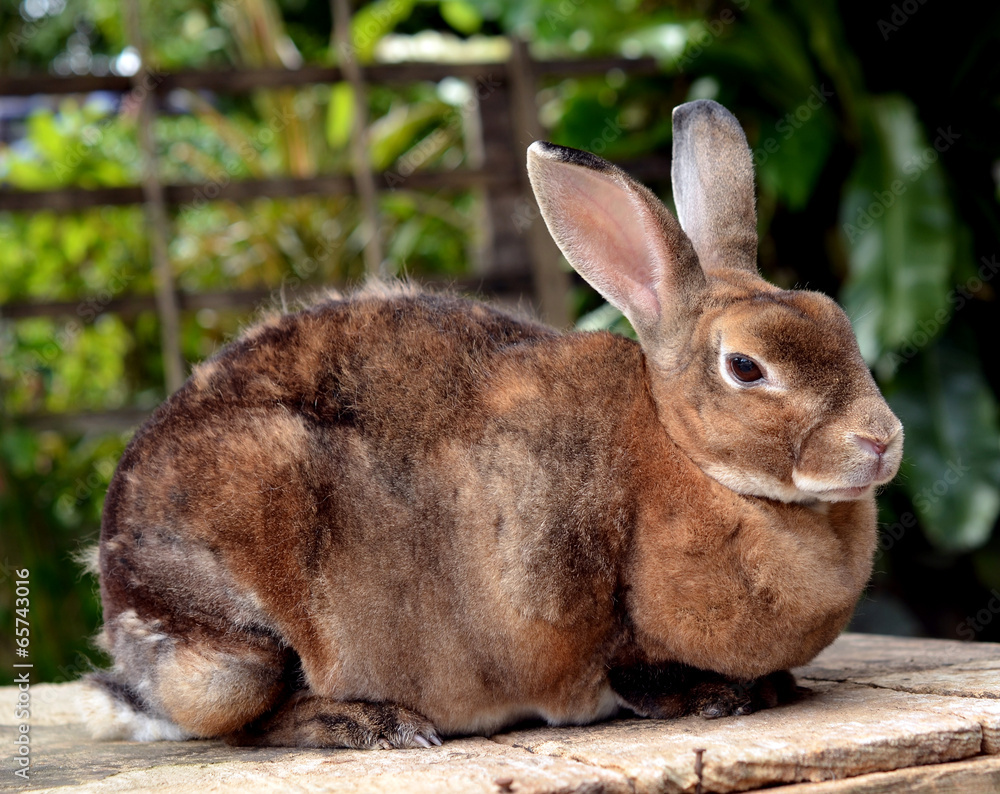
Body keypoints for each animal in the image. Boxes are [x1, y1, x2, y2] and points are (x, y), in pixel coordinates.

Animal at [81, 99, 902, 750]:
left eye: (836, 319)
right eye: (746, 368)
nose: (882, 441)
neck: (682, 455)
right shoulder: (601, 620)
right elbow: (639, 673)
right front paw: (727, 696)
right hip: (237, 642)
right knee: (250, 717)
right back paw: (371, 723)